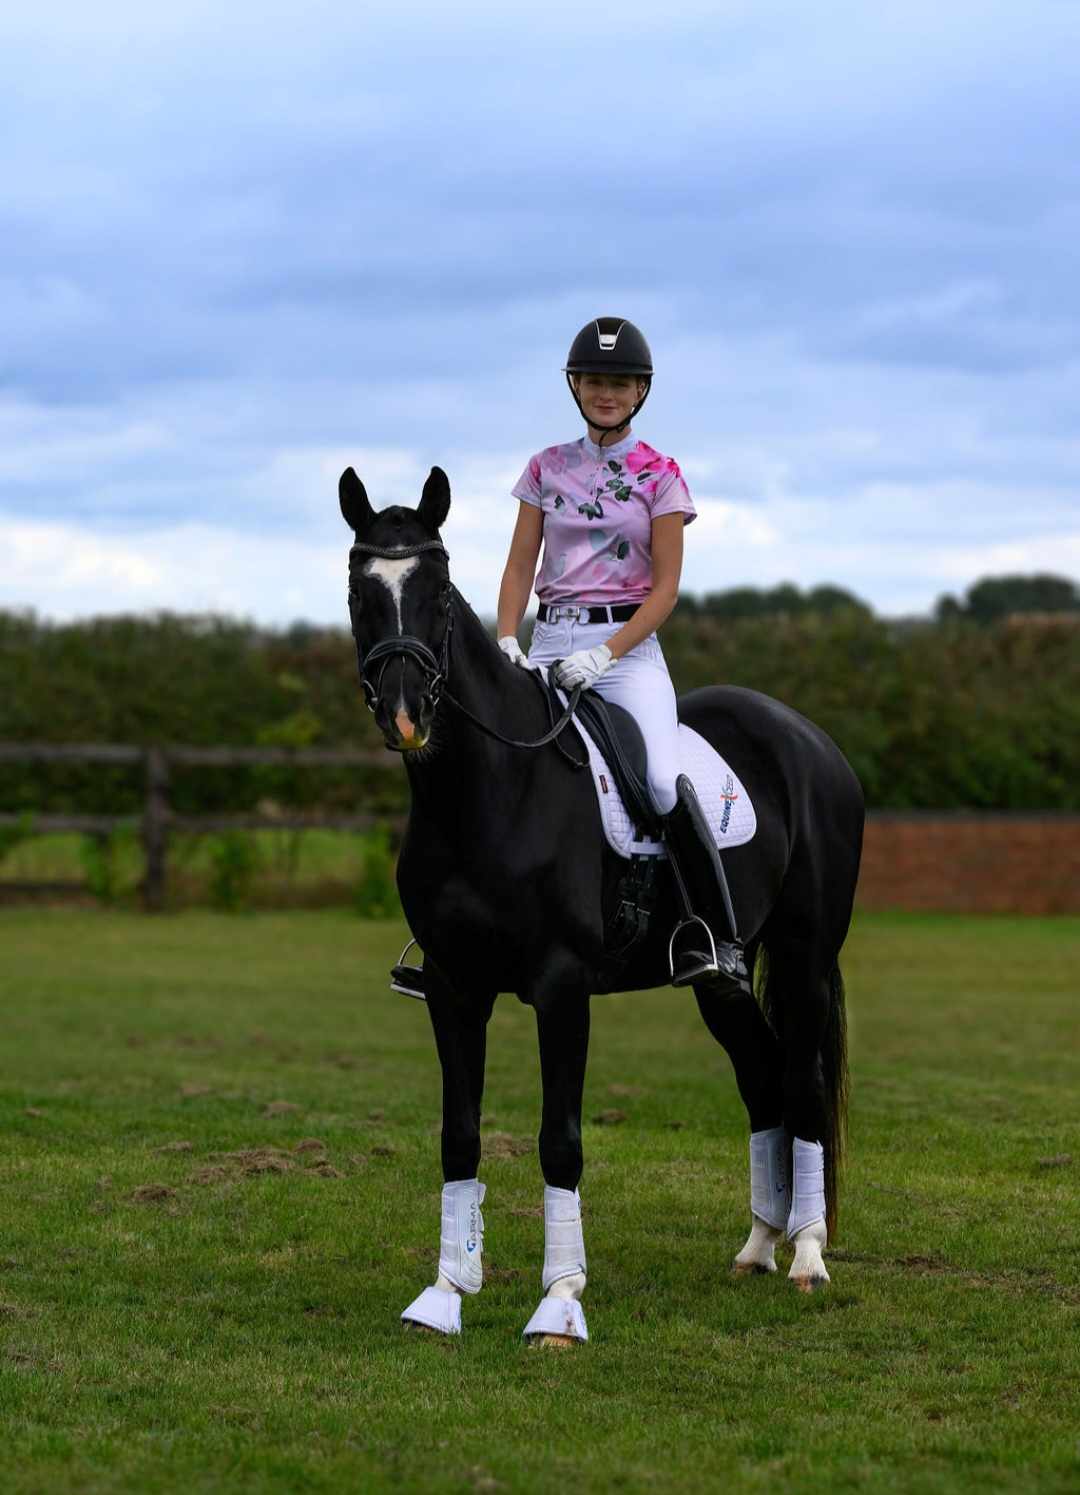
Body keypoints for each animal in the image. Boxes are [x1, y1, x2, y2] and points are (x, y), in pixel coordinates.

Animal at [341, 466, 861, 1345]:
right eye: (358, 590)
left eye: (439, 591)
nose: (408, 714)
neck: (490, 791)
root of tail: (812, 741)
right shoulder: (452, 987)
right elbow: (458, 1135)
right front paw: (445, 1294)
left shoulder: (561, 987)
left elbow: (560, 1140)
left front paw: (559, 1302)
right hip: (719, 974)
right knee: (762, 1077)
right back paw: (759, 1244)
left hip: (805, 959)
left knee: (801, 1081)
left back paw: (809, 1254)